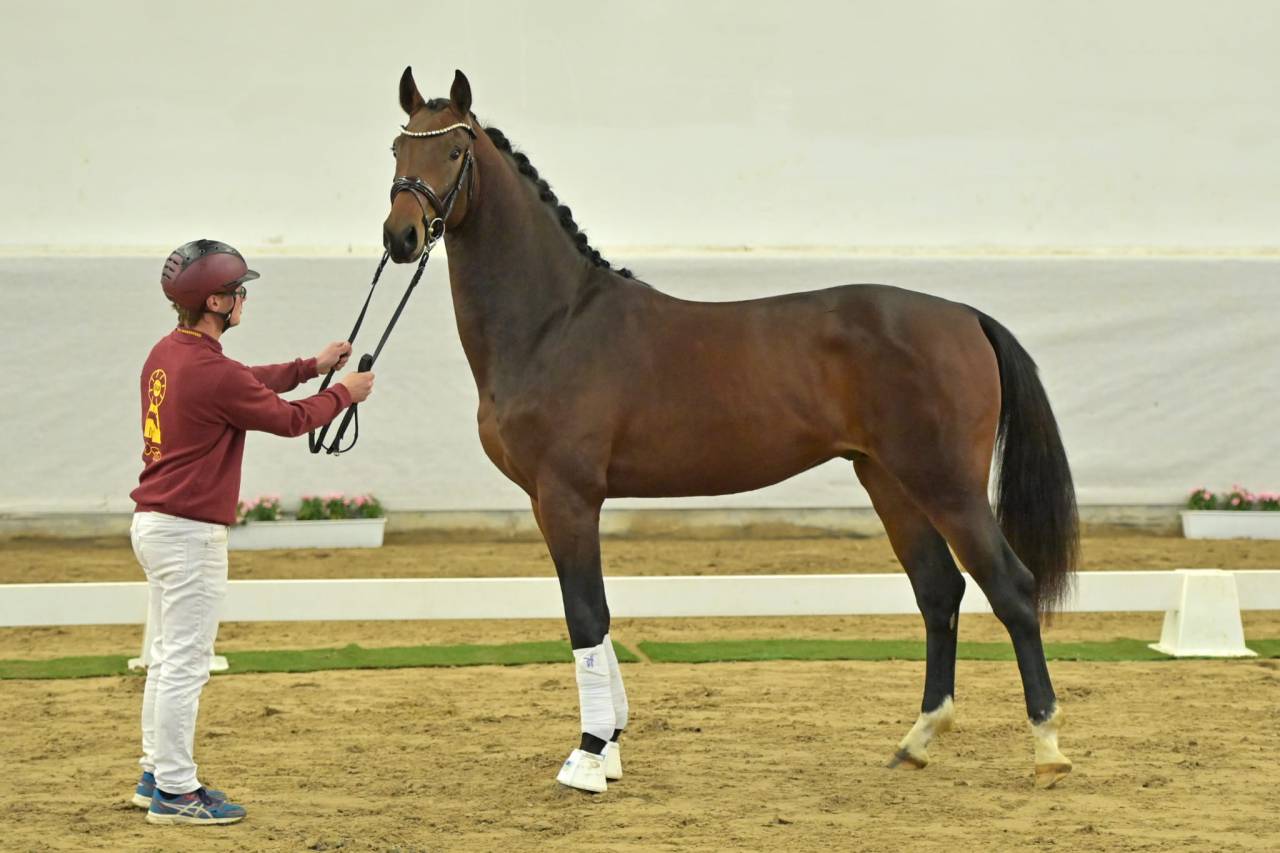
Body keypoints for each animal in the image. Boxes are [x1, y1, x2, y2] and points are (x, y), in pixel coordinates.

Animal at [381, 68, 1079, 793]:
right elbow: (599, 615)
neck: (555, 322)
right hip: (890, 480)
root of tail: (966, 315)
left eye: (454, 151)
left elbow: (585, 615)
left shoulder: (568, 497)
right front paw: (612, 747)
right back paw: (917, 740)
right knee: (939, 591)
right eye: (397, 150)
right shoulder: (548, 503)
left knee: (1011, 587)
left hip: (947, 485)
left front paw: (589, 755)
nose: (400, 236)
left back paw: (1047, 746)